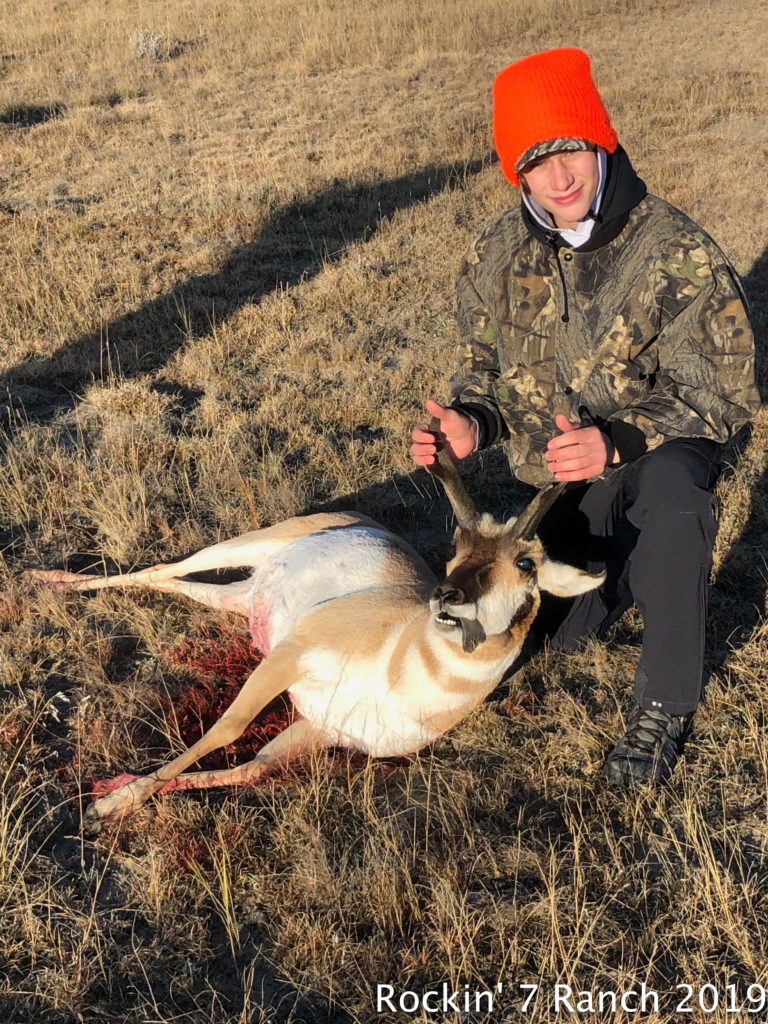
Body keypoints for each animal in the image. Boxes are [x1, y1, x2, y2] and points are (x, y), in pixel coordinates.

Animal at [27, 425, 606, 831]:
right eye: (457, 545)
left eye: (526, 563)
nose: (447, 596)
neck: (398, 673)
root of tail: (360, 520)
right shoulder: (290, 656)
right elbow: (228, 729)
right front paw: (107, 805)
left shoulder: (317, 728)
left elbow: (248, 768)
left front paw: (117, 789)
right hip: (246, 546)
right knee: (162, 569)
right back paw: (47, 580)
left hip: (243, 597)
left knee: (183, 586)